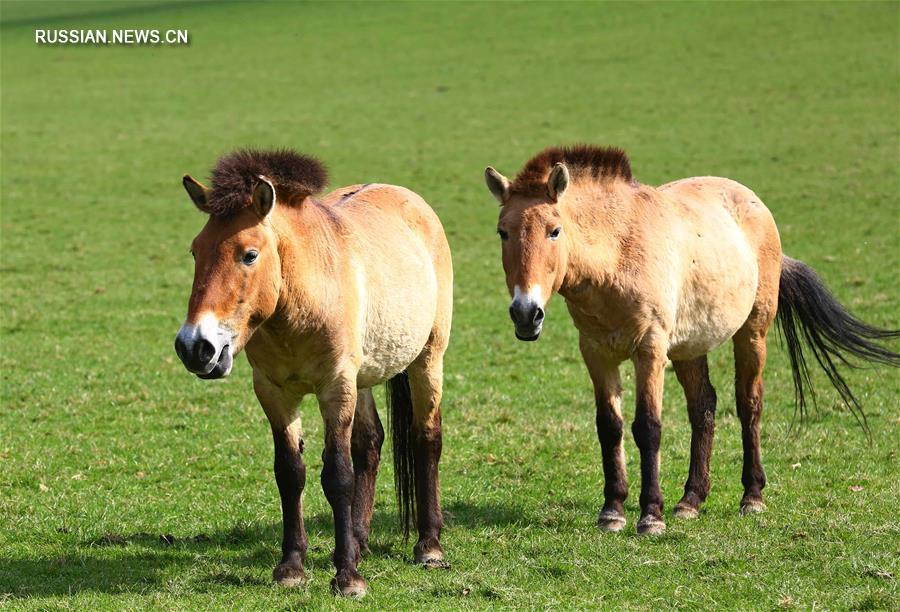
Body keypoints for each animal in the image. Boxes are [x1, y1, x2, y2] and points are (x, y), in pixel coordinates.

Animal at [173, 149, 454, 596]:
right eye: (196, 251)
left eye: (249, 254)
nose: (194, 347)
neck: (299, 303)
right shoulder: (275, 393)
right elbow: (290, 472)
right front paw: (291, 567)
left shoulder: (335, 387)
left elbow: (337, 474)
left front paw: (348, 577)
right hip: (364, 378)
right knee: (370, 444)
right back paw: (359, 541)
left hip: (427, 359)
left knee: (426, 437)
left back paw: (429, 546)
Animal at [486, 145, 900, 536]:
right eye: (502, 232)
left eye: (554, 230)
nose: (526, 313)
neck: (618, 253)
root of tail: (752, 201)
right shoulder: (596, 353)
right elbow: (610, 427)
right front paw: (612, 511)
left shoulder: (650, 351)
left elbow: (647, 428)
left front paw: (650, 516)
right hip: (689, 348)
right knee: (704, 407)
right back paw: (691, 500)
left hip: (752, 334)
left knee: (749, 404)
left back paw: (752, 496)